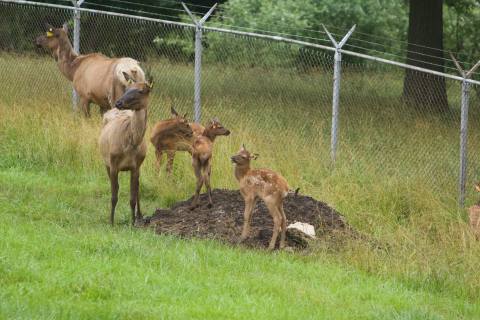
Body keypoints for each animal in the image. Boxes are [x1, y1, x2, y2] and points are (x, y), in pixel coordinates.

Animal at [96, 72, 151, 225]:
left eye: (141, 91)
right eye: (127, 89)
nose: (118, 103)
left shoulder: (135, 166)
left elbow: (132, 197)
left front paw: (132, 223)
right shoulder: (113, 164)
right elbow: (114, 196)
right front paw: (111, 222)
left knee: (137, 187)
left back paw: (140, 215)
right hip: (106, 161)